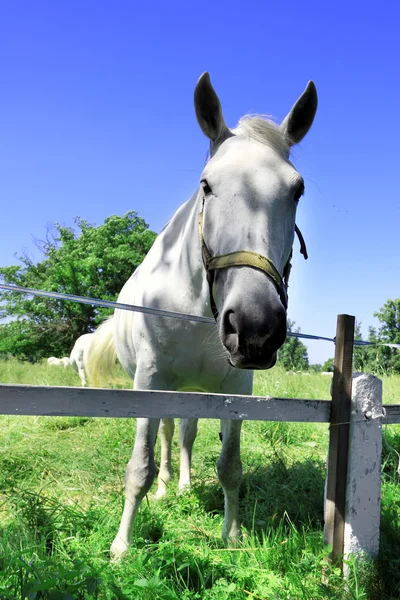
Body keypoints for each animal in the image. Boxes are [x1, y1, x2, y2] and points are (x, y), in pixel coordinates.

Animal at [86, 74, 318, 556]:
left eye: (297, 189)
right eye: (207, 185)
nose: (254, 327)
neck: (195, 310)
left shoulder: (237, 387)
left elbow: (230, 466)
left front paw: (232, 535)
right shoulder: (149, 382)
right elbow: (139, 466)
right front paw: (121, 546)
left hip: (194, 391)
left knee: (186, 434)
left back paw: (185, 484)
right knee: (167, 435)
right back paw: (166, 487)